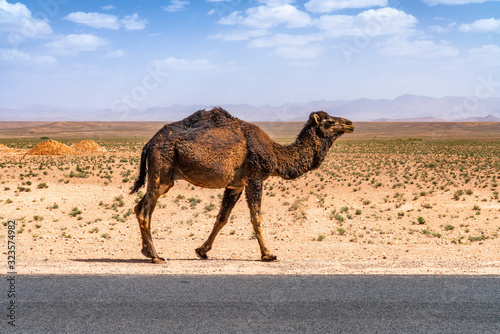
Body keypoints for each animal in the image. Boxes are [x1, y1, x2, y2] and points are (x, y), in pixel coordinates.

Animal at [131, 107, 354, 264]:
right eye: (330, 121)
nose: (350, 124)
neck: (276, 154)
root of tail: (150, 142)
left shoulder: (235, 185)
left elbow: (221, 218)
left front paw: (202, 251)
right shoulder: (254, 178)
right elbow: (256, 218)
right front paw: (268, 254)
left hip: (165, 178)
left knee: (139, 206)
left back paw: (146, 251)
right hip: (161, 166)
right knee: (145, 210)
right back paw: (156, 256)